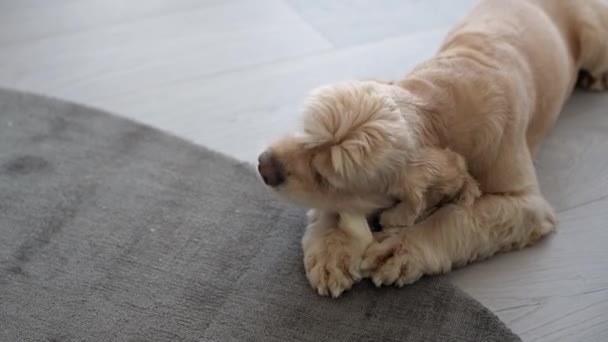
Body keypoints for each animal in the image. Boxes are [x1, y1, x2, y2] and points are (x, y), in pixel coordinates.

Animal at [256, 0, 608, 296]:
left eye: (327, 177)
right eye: (306, 132)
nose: (263, 165)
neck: (438, 102)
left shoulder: (527, 205)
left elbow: (458, 218)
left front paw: (400, 248)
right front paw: (333, 248)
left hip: (595, 38)